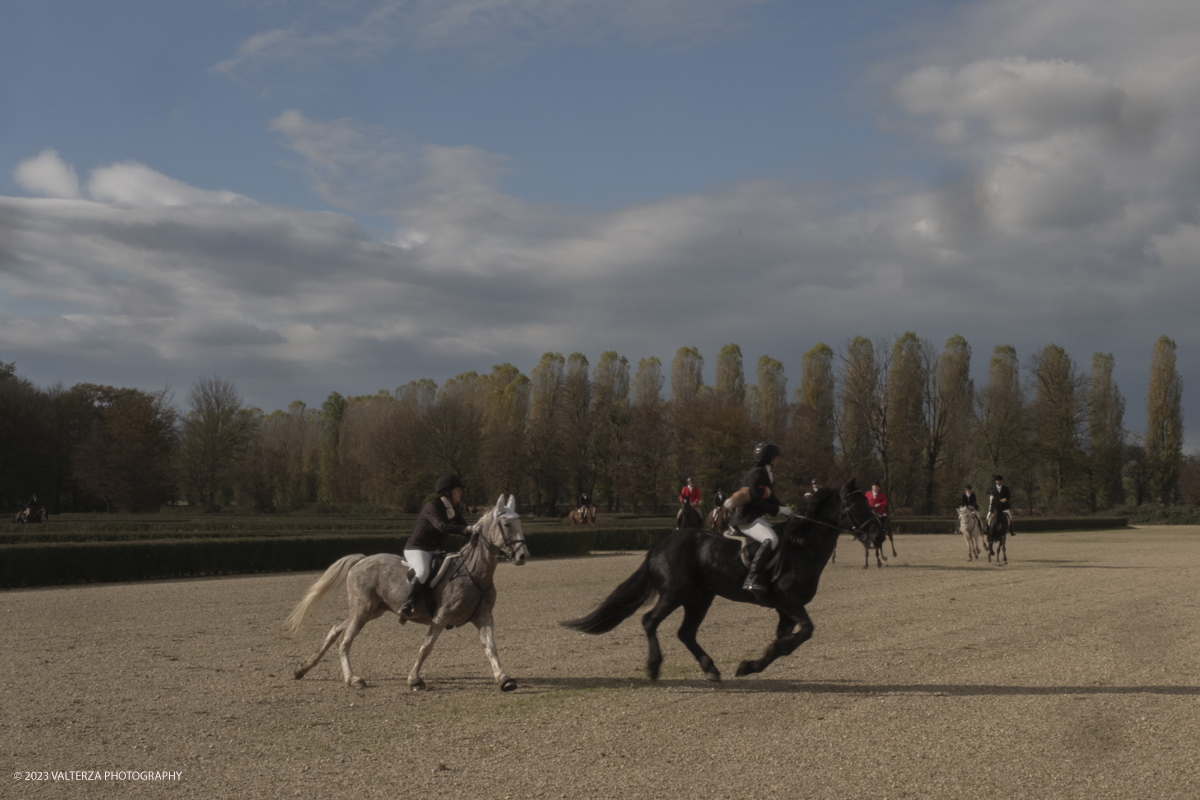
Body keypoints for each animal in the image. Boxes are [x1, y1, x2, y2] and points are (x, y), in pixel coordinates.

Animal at [285, 491, 530, 690]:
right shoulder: (441, 617)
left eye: (519, 523)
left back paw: (303, 668)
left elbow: (491, 647)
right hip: (363, 611)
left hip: (371, 610)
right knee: (344, 641)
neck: (475, 573)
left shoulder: (483, 617)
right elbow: (426, 647)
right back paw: (353, 679)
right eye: (507, 525)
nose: (523, 556)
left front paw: (504, 679)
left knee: (336, 630)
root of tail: (361, 560)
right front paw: (414, 679)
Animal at [561, 482, 883, 681]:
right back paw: (653, 667)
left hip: (700, 598)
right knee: (650, 621)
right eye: (855, 505)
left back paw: (711, 668)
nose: (877, 534)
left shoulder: (784, 609)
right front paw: (752, 663)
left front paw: (751, 665)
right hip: (675, 594)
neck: (801, 545)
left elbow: (783, 643)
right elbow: (805, 632)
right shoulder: (789, 602)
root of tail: (661, 545)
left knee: (686, 633)